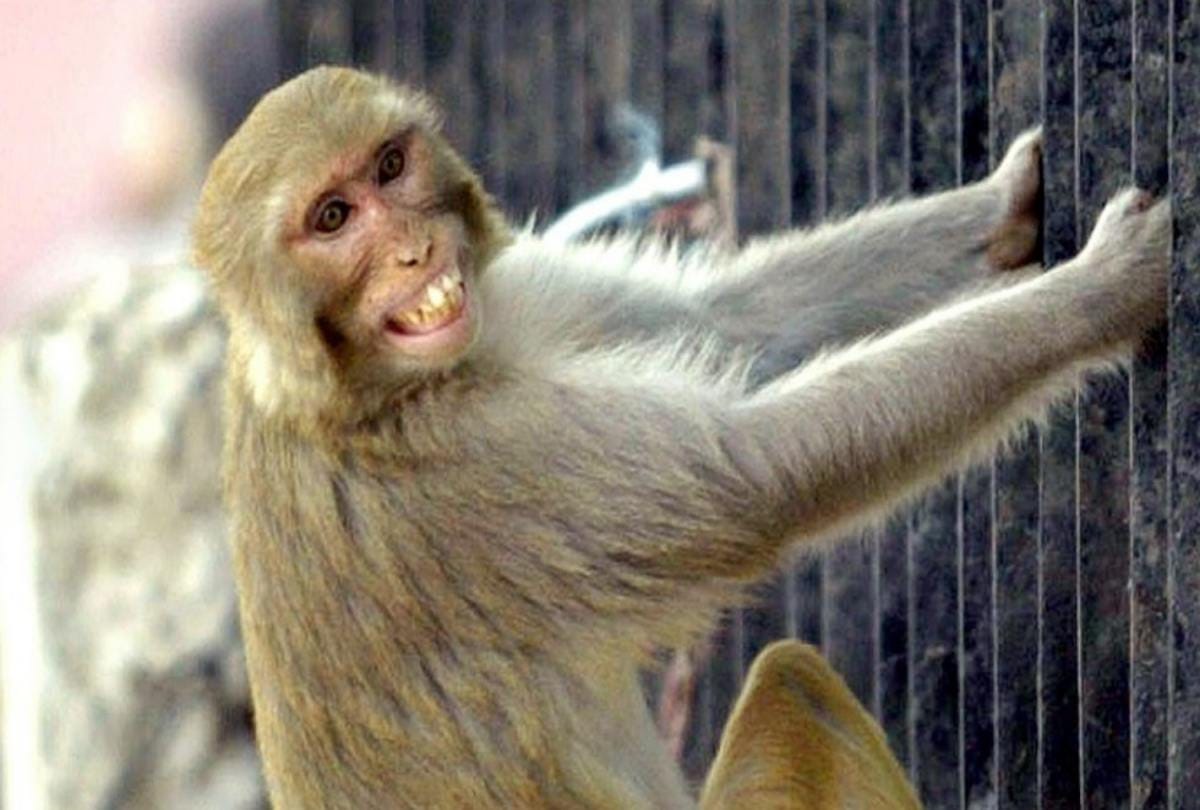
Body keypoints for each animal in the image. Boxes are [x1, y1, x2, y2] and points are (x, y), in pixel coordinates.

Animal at [191, 66, 1168, 809]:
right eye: (332, 219)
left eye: (390, 167)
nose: (413, 254)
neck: (347, 390)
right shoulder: (471, 472)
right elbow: (757, 468)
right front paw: (1100, 296)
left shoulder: (500, 309)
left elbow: (725, 319)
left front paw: (1008, 201)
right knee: (791, 683)